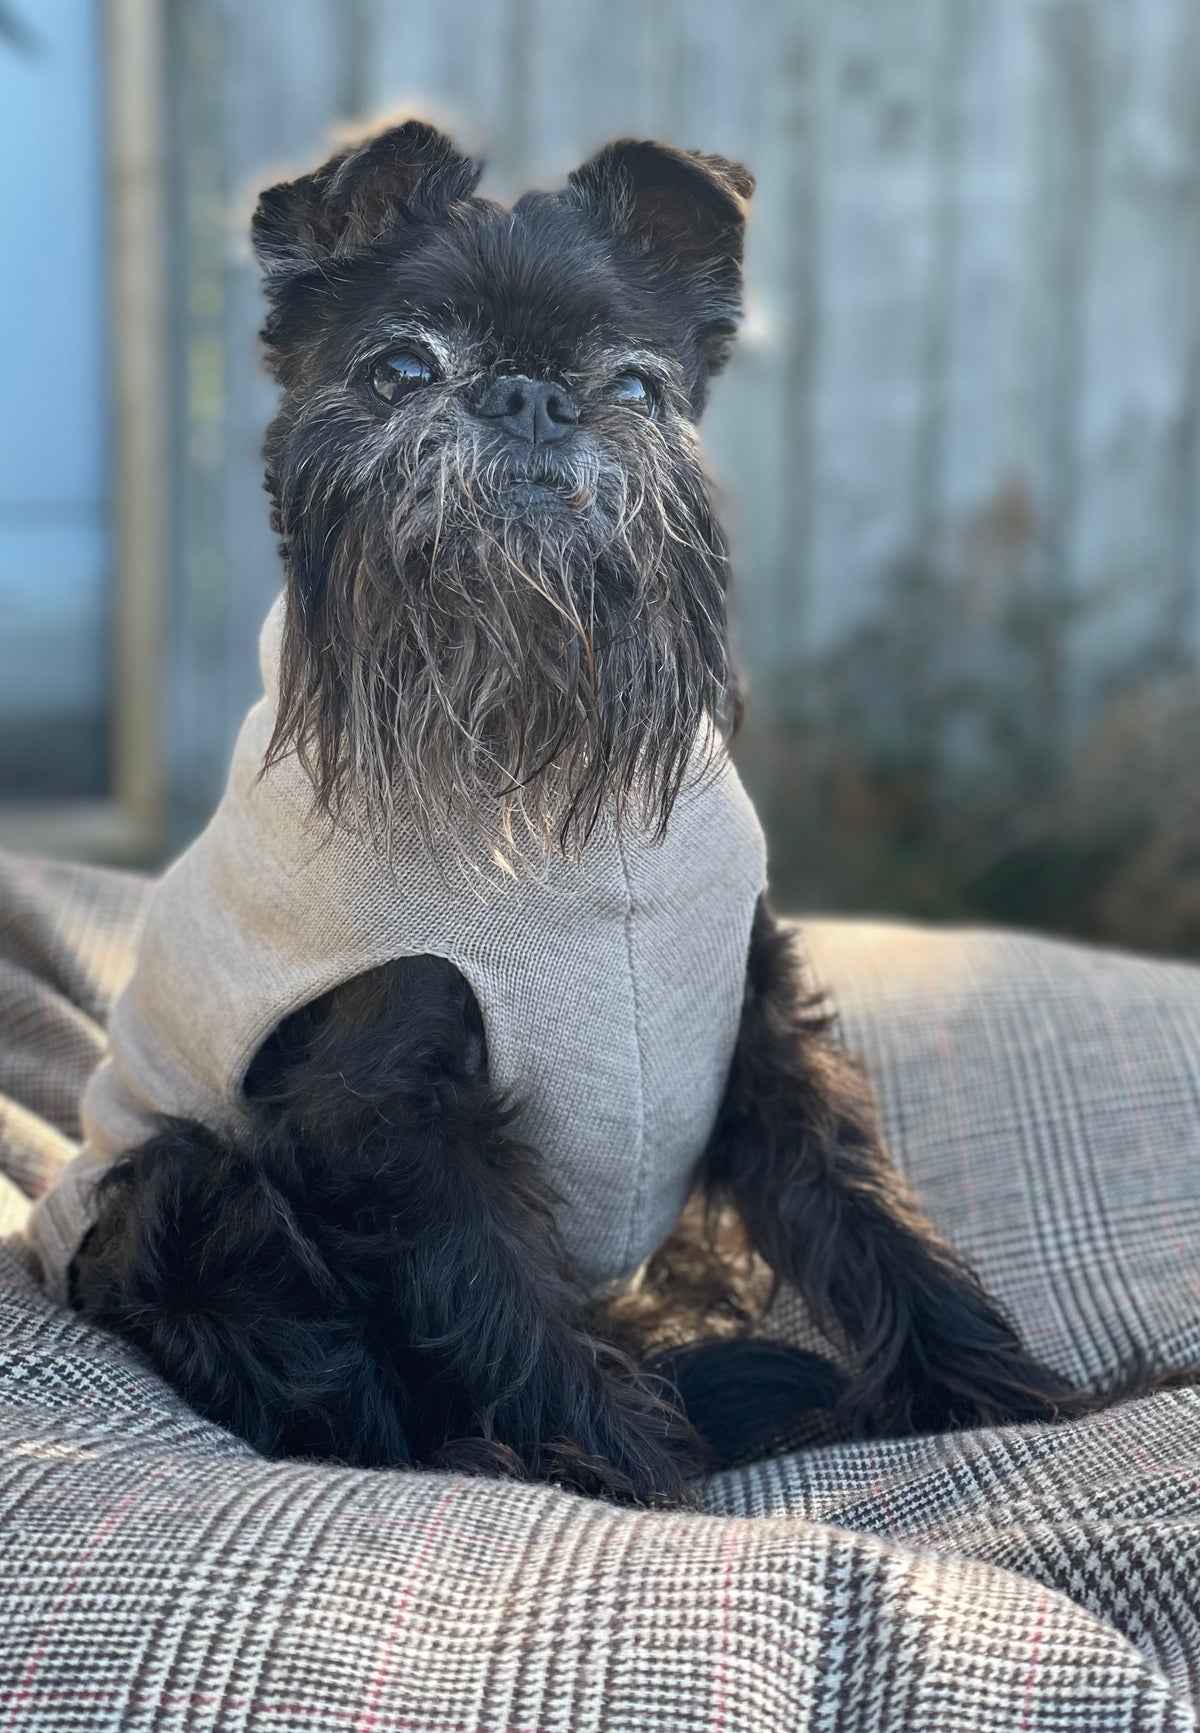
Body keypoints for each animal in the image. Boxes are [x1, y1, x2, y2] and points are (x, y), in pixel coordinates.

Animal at [30, 118, 1075, 1504]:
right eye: (400, 369)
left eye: (633, 386)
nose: (530, 396)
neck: (540, 766)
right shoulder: (384, 1113)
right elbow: (496, 1295)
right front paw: (634, 1471)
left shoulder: (760, 1030)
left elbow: (865, 1210)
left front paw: (1001, 1393)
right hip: (178, 1182)